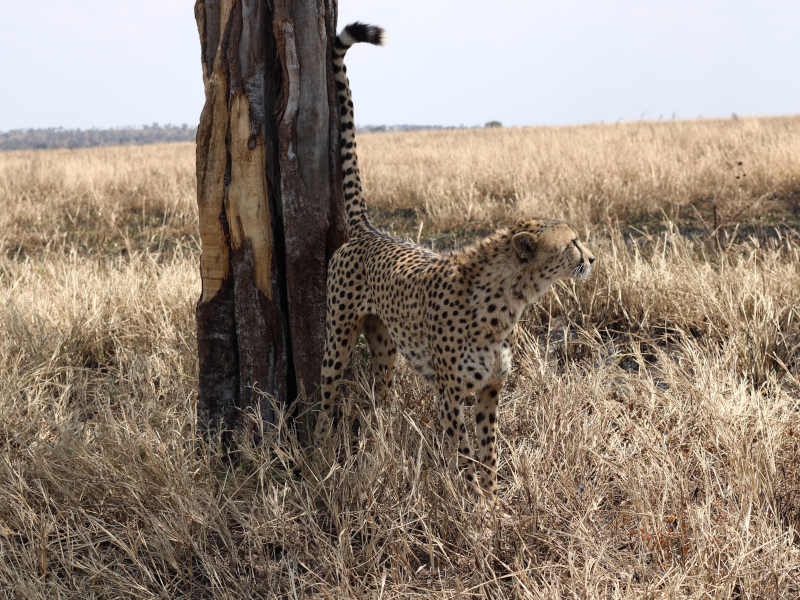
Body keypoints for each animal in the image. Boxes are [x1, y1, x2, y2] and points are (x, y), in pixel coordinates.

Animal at [316, 21, 596, 494]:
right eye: (573, 242)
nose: (592, 258)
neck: (508, 301)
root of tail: (369, 228)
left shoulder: (490, 388)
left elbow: (488, 449)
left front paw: (491, 496)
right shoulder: (451, 392)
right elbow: (463, 450)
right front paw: (468, 497)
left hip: (385, 345)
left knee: (380, 396)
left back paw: (376, 443)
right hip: (338, 332)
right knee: (326, 391)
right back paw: (314, 452)